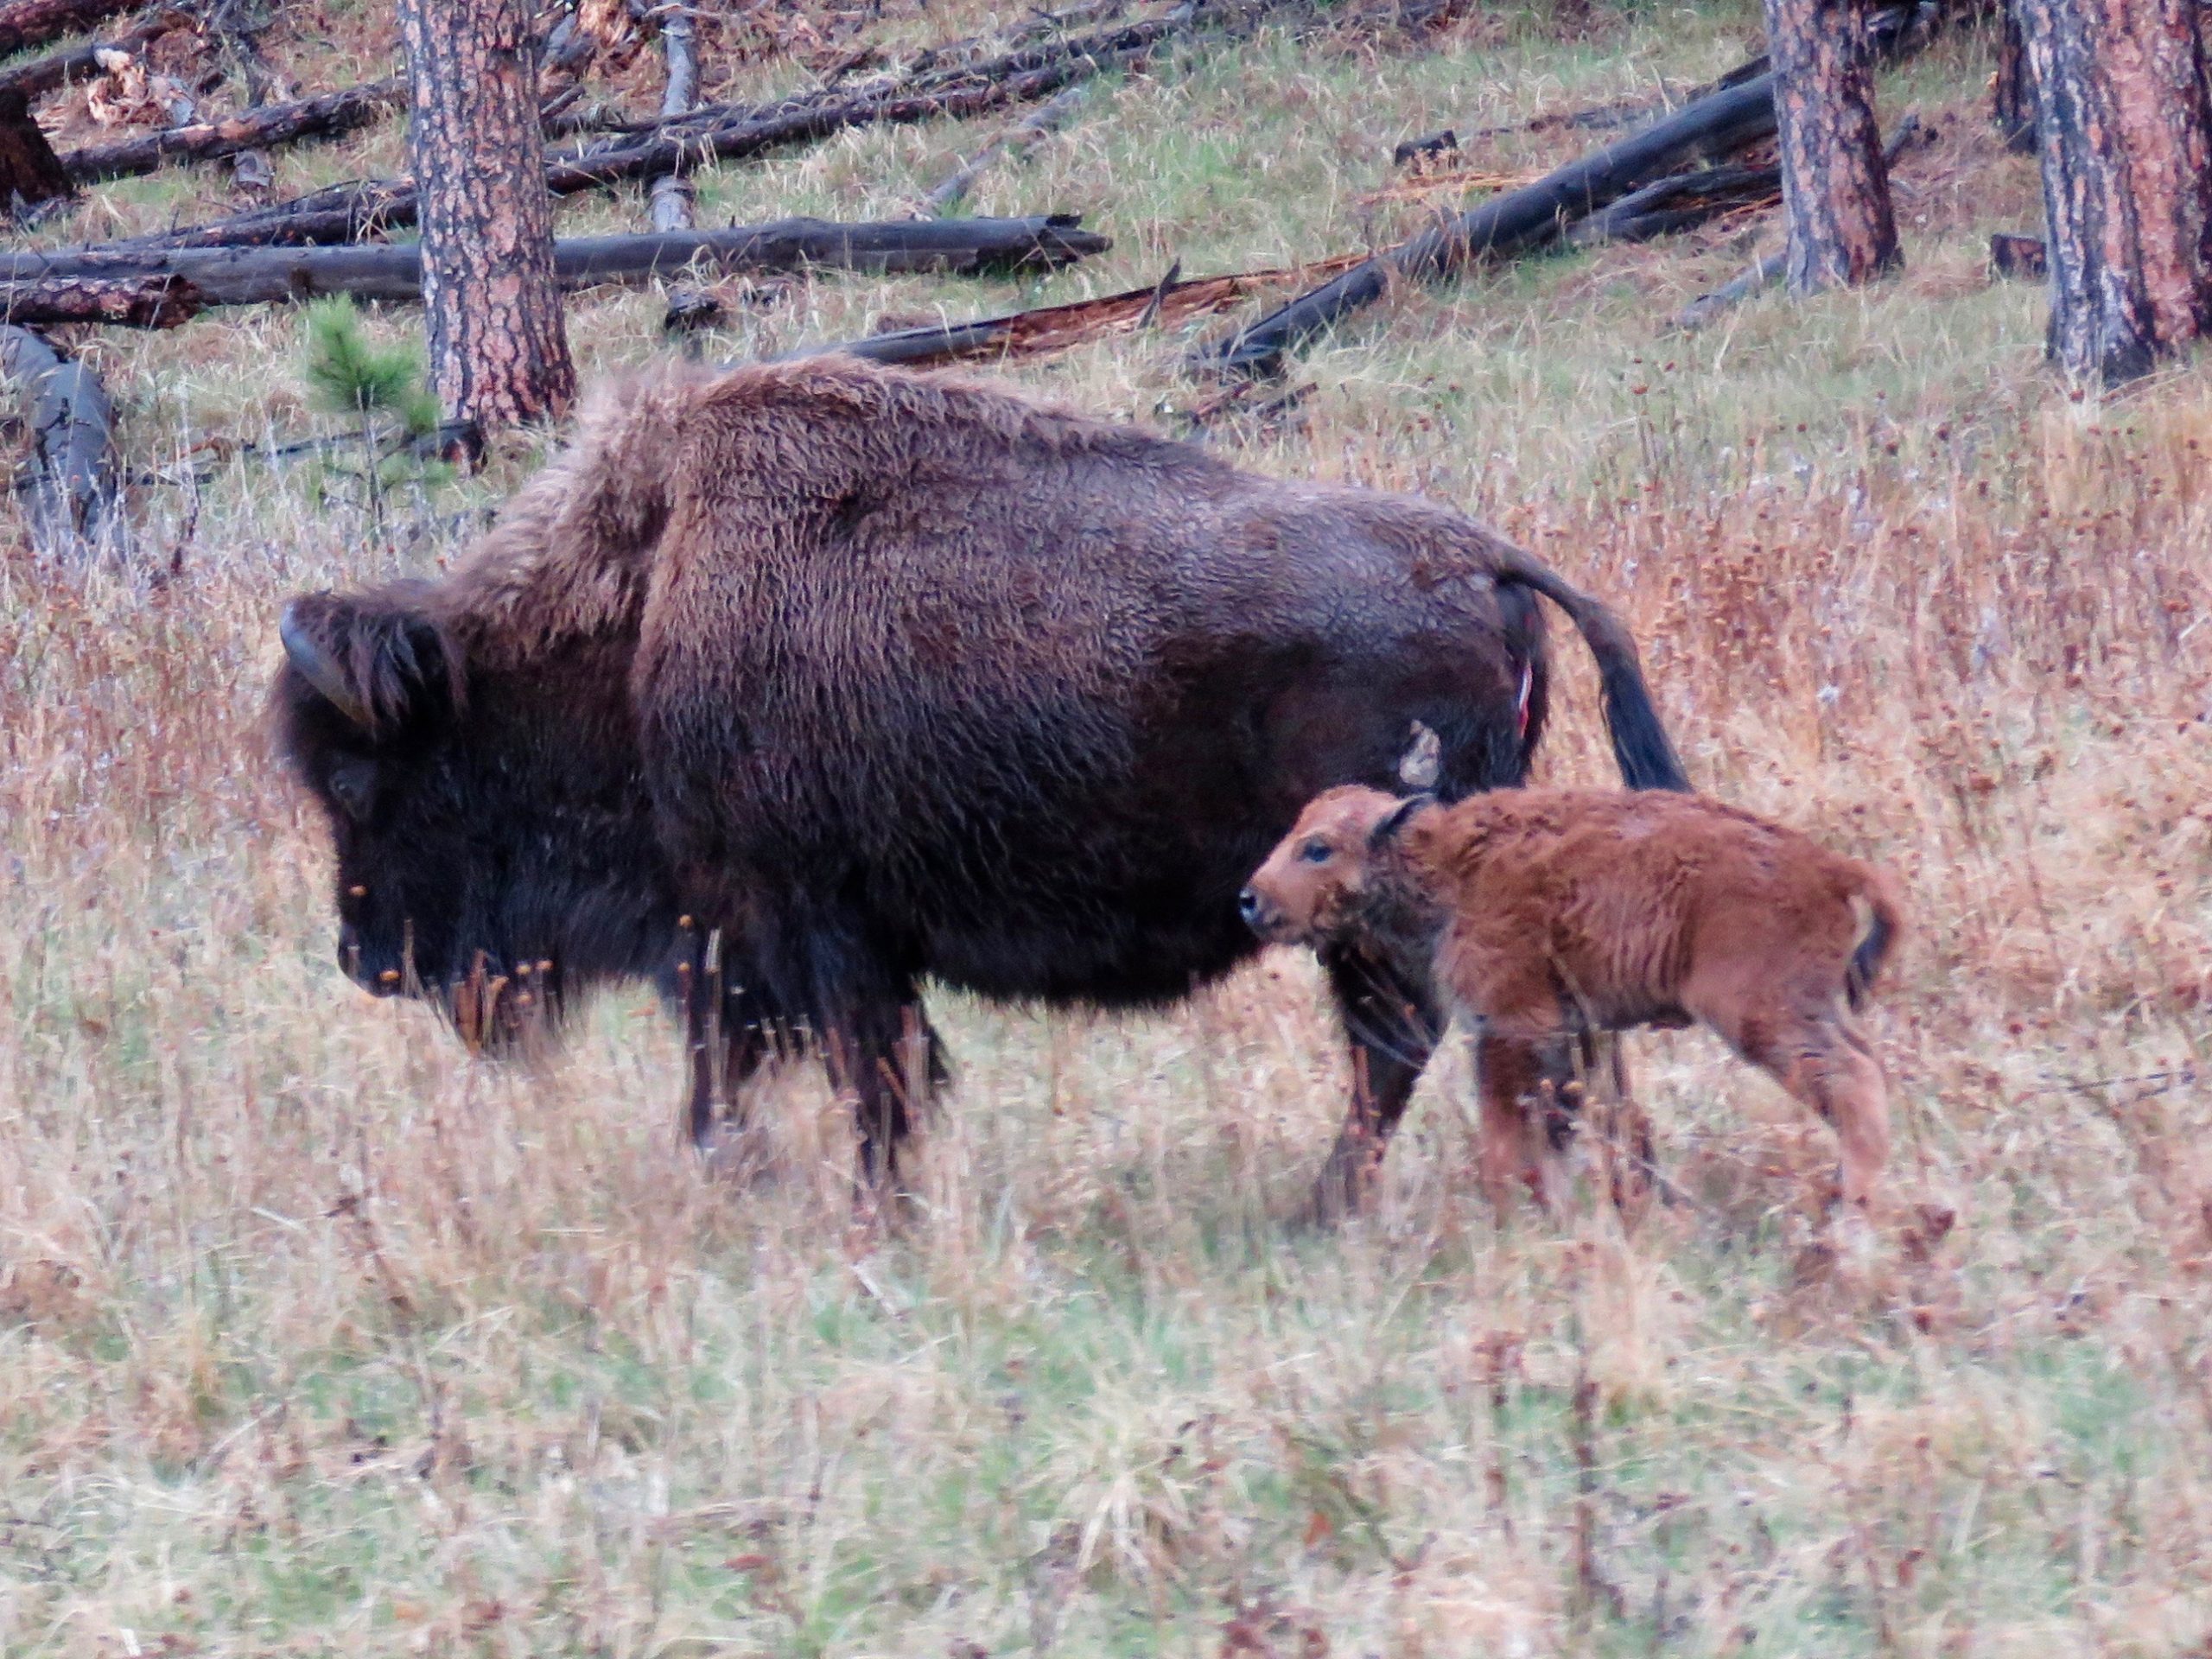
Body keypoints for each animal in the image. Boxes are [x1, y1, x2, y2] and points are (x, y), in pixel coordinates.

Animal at [274, 357, 1687, 1212]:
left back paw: (1329, 1209)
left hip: (1372, 906)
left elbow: (866, 1077)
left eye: (363, 779)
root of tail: (1483, 560)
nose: (361, 956)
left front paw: (869, 1213)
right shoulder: (754, 940)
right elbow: (758, 1073)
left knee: (1402, 1048)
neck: (643, 614)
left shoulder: (803, 923)